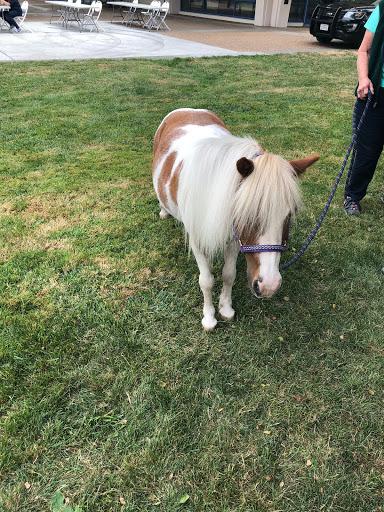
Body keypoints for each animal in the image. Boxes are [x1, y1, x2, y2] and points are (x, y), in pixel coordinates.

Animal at [153, 109, 318, 332]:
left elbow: (228, 274)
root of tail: (188, 110)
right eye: (246, 212)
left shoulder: (234, 237)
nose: (269, 286)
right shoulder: (197, 239)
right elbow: (206, 281)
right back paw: (164, 211)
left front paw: (226, 309)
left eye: (290, 214)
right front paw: (209, 317)